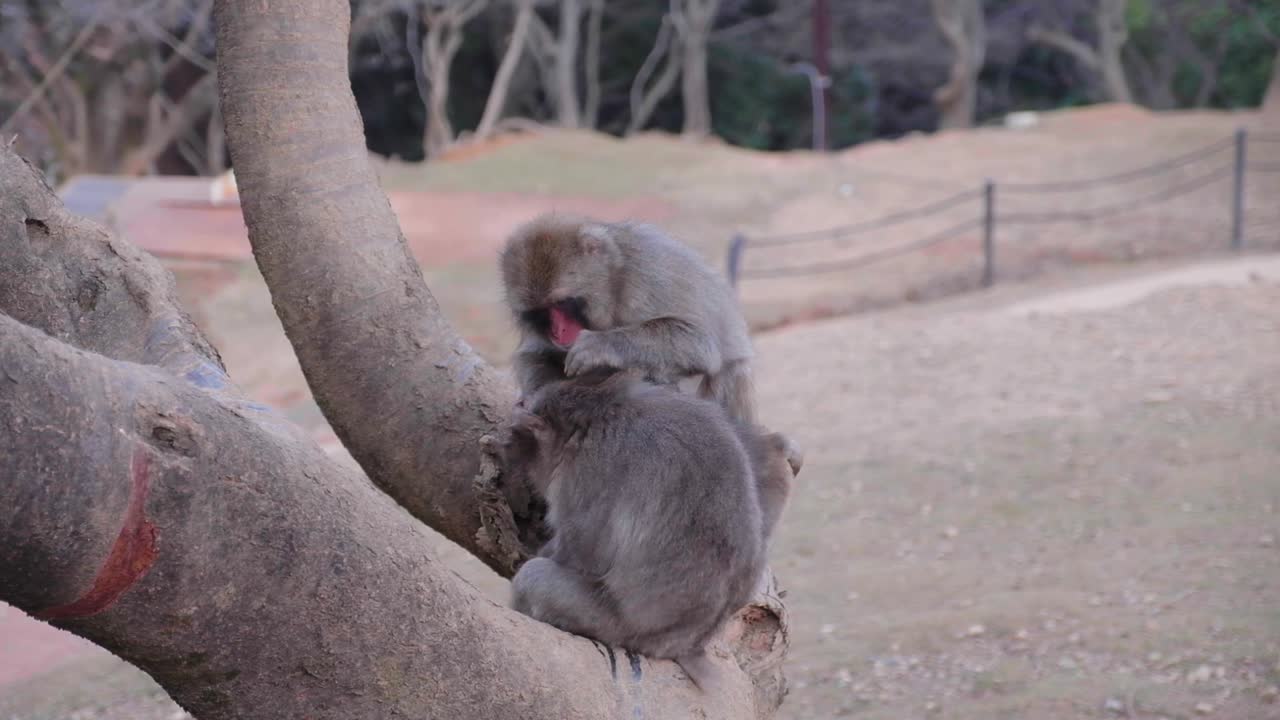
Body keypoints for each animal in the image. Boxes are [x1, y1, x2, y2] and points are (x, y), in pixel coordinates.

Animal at [498, 369, 770, 689]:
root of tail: (687, 646)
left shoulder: (587, 473)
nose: (511, 450)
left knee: (534, 577)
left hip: (612, 625)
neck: (597, 415)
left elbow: (586, 552)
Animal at [499, 213, 757, 424]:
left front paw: (600, 345)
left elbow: (699, 341)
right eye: (540, 311)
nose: (558, 331)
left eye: (562, 303)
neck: (612, 286)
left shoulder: (648, 275)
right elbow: (534, 354)